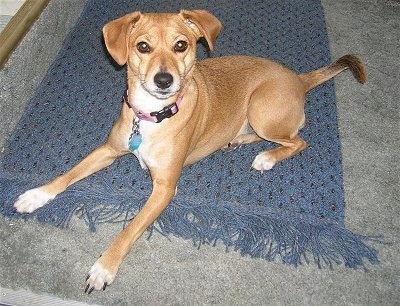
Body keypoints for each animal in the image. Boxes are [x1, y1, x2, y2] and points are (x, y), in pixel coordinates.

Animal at [13, 9, 366, 292]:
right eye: (143, 46)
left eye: (181, 45)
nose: (164, 80)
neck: (151, 116)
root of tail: (298, 79)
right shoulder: (108, 150)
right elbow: (68, 174)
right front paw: (36, 195)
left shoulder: (165, 188)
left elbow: (129, 230)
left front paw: (104, 267)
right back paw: (238, 140)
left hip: (261, 110)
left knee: (297, 140)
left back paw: (266, 157)